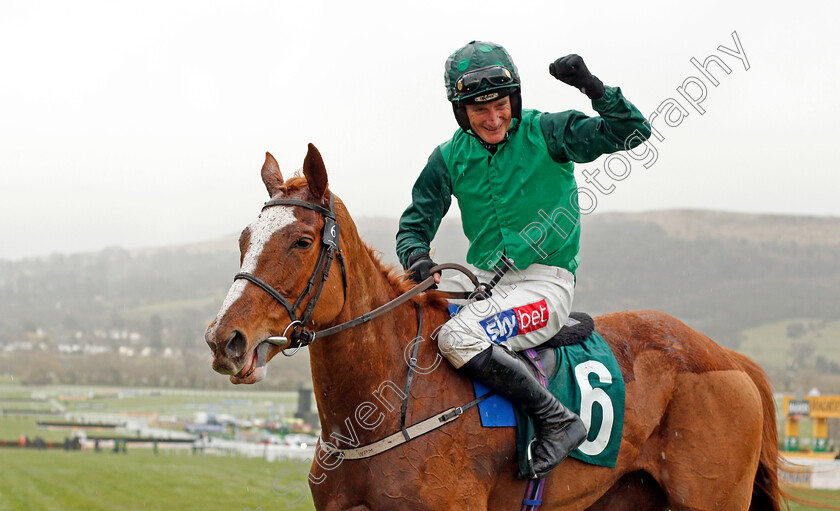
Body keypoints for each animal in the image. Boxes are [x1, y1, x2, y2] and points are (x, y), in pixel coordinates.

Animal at [207, 145, 784, 511]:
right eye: (244, 239)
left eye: (302, 241)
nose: (224, 339)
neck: (390, 401)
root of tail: (731, 359)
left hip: (711, 499)